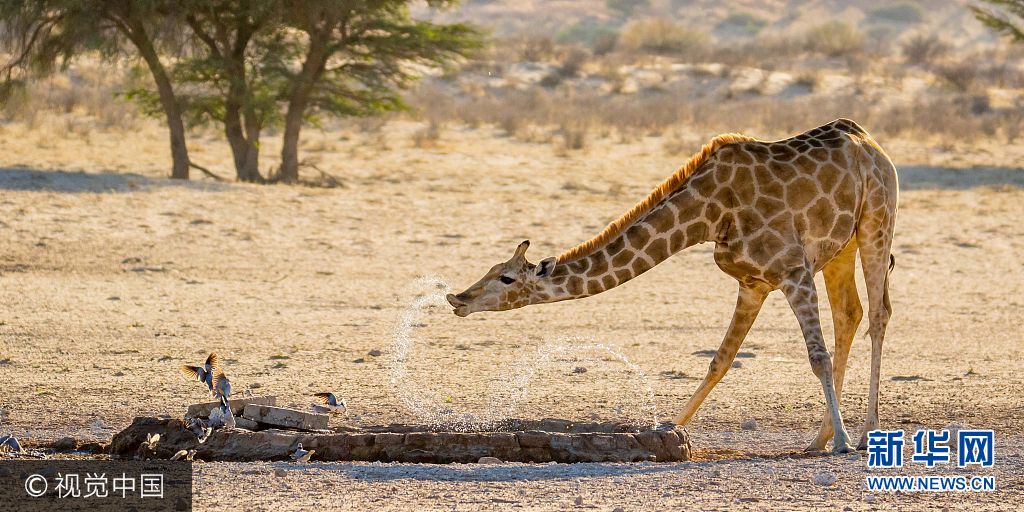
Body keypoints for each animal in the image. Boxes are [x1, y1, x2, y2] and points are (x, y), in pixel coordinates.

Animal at [448, 117, 897, 454]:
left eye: (505, 278)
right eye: (490, 269)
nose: (457, 299)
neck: (710, 214)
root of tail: (868, 140)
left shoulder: (793, 272)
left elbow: (816, 356)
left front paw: (843, 442)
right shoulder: (753, 283)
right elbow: (720, 360)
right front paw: (668, 430)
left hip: (877, 223)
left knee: (878, 314)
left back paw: (862, 435)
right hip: (840, 248)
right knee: (850, 315)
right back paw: (818, 439)